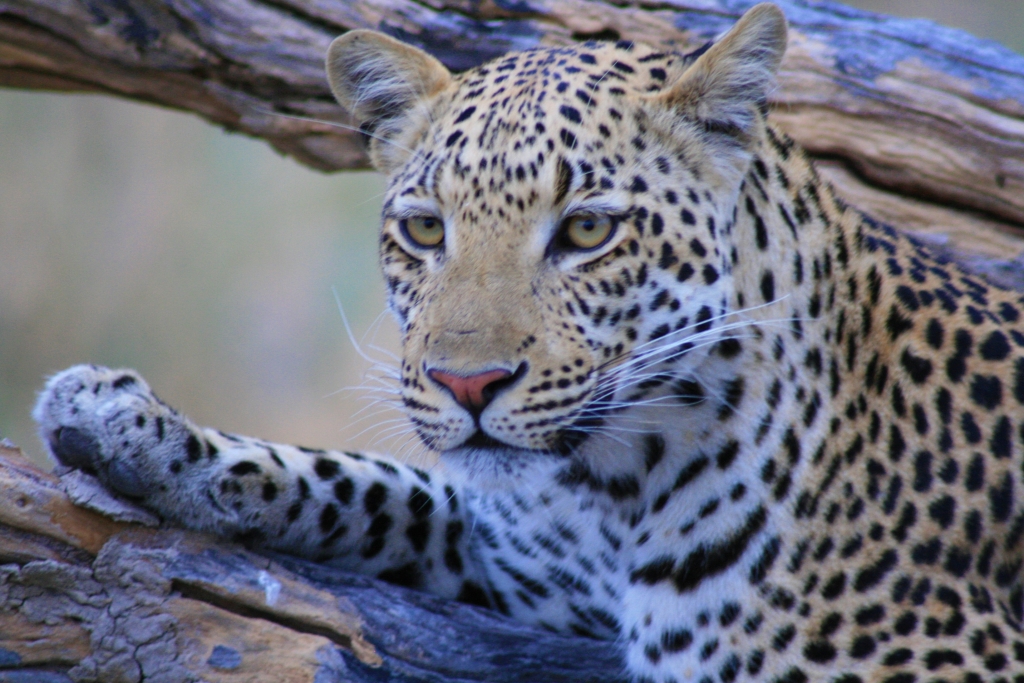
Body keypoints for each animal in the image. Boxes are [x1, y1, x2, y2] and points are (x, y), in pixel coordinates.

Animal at [29, 5, 1024, 683]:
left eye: (587, 231)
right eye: (426, 230)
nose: (467, 384)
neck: (616, 492)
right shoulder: (523, 573)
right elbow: (372, 484)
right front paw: (128, 425)